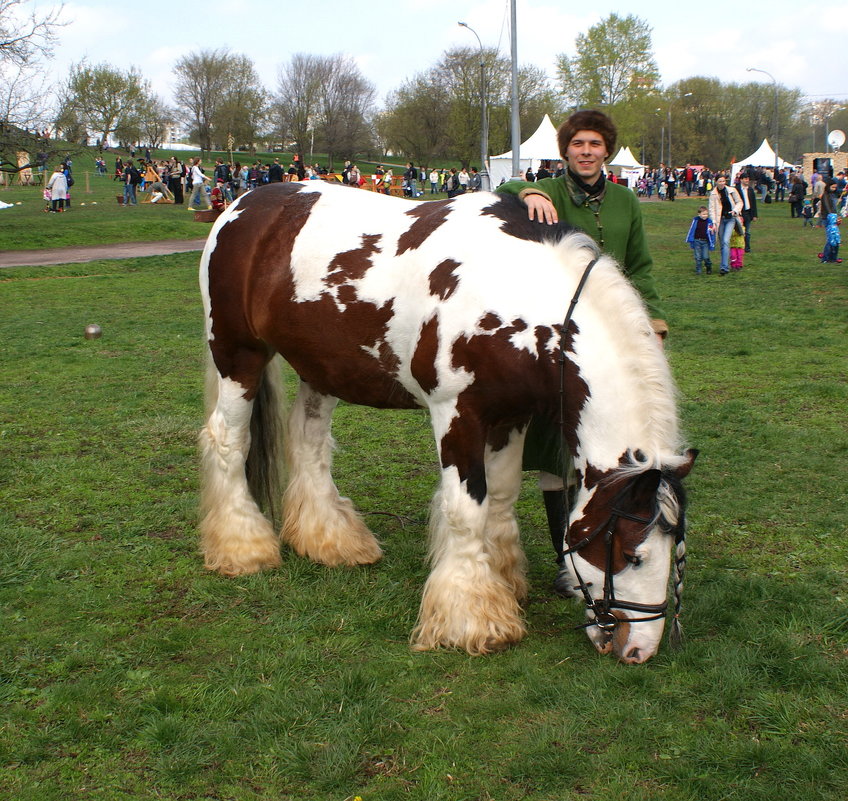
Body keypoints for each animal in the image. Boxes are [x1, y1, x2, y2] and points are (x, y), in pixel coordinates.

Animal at [197, 181, 696, 664]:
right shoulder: (457, 414)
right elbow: (466, 508)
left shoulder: (511, 416)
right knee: (228, 439)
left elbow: (501, 495)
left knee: (308, 441)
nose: (639, 650)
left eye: (675, 551)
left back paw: (331, 540)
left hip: (321, 368)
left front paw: (503, 578)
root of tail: (241, 205)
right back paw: (243, 547)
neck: (517, 290)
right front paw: (472, 616)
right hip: (238, 356)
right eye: (632, 554)